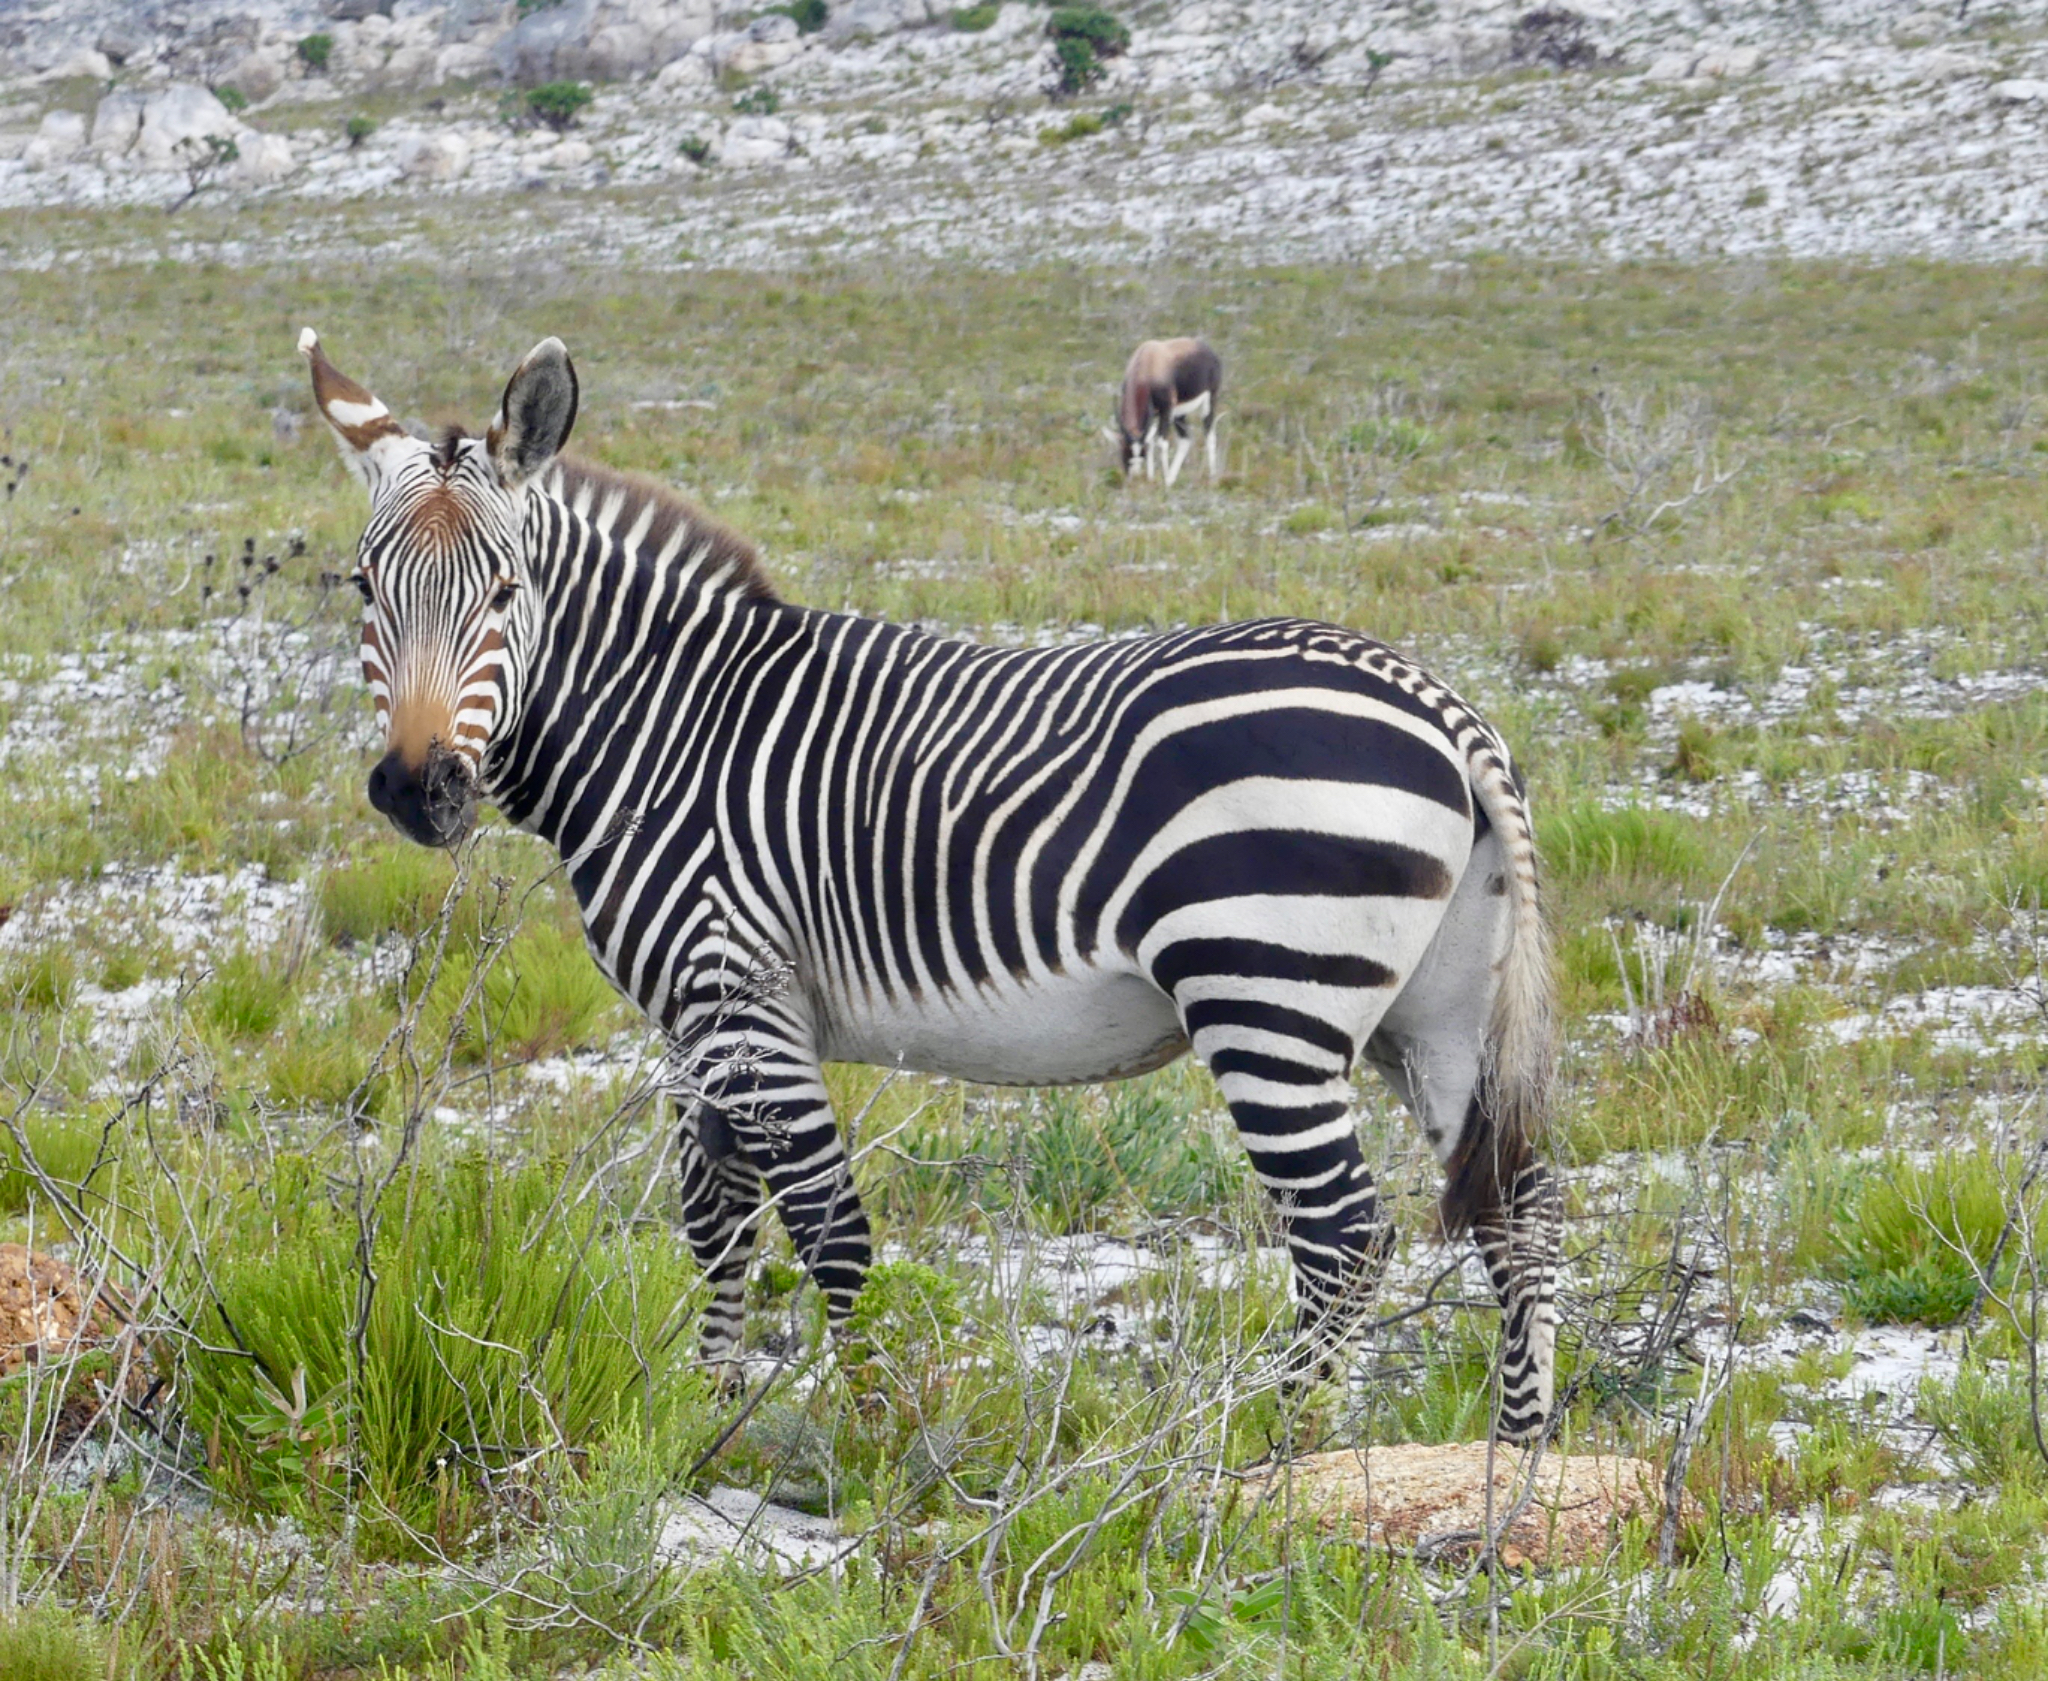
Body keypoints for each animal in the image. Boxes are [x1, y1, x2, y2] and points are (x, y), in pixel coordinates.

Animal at [300, 328, 1563, 1442]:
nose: (418, 789)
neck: (668, 727)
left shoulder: (743, 1000)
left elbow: (827, 1231)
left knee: (1342, 1232)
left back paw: (1273, 1450)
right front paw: (708, 1414)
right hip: (1436, 1013)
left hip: (1266, 995)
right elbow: (716, 1220)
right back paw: (1516, 1455)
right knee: (1524, 1209)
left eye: (506, 592)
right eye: (363, 589)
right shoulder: (697, 1022)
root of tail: (1441, 706)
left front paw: (871, 1439)